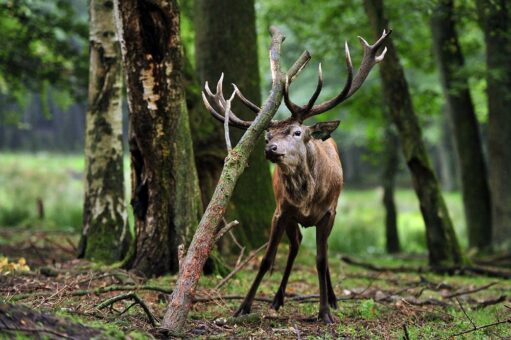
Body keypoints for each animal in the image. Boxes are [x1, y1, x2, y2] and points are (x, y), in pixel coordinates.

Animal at [202, 29, 390, 324]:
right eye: (267, 135)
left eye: (297, 132)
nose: (271, 149)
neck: (307, 198)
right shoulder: (281, 211)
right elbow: (267, 260)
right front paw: (243, 307)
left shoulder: (328, 213)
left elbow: (321, 261)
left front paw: (324, 312)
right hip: (290, 218)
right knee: (296, 244)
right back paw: (278, 299)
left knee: (322, 251)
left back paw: (332, 299)